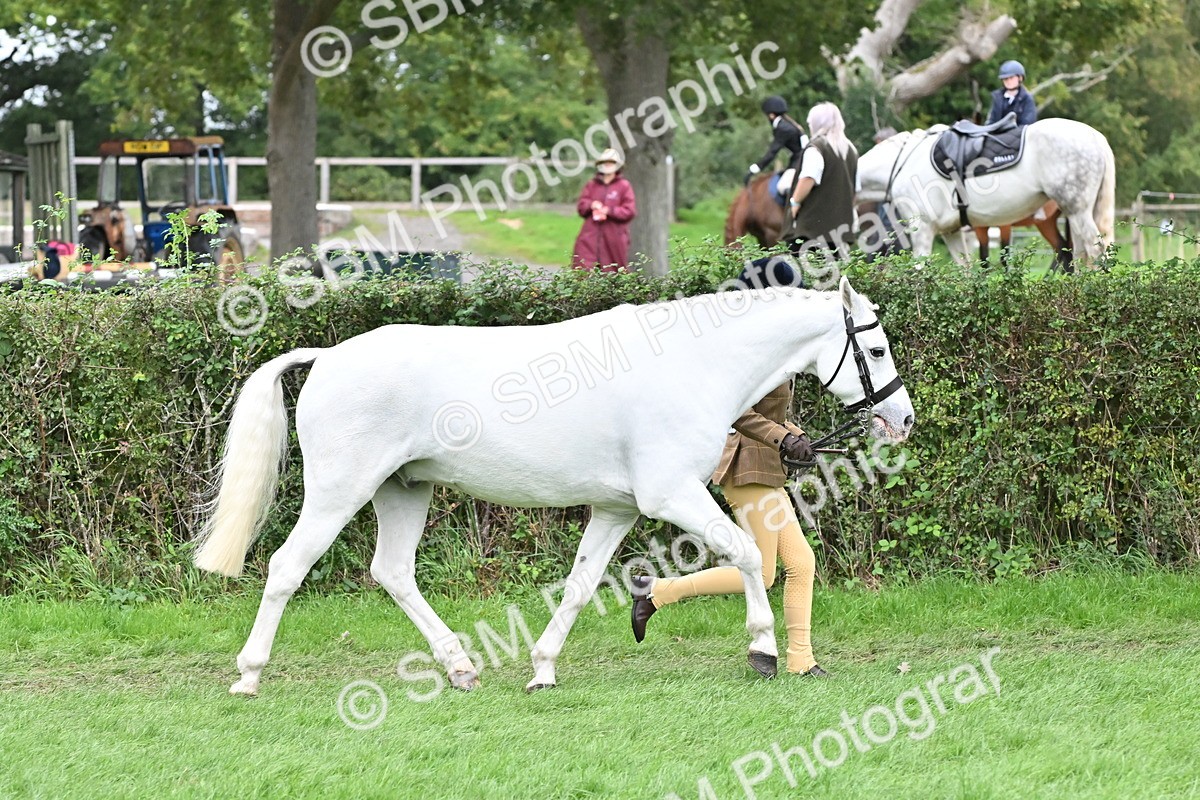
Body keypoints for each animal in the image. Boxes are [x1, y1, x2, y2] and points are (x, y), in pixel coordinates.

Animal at [194, 276, 914, 696]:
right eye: (876, 350)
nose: (901, 419)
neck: (691, 364)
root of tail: (329, 357)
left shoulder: (617, 509)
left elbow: (579, 585)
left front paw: (542, 669)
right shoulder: (670, 493)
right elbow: (743, 554)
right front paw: (763, 649)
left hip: (403, 489)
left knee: (392, 572)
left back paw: (461, 668)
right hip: (339, 492)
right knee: (287, 567)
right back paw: (249, 677)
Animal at [858, 119, 1114, 265]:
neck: (904, 162)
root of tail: (1095, 137)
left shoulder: (922, 229)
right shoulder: (951, 231)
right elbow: (966, 270)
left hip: (1076, 212)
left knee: (1095, 250)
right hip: (1072, 215)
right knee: (1078, 253)